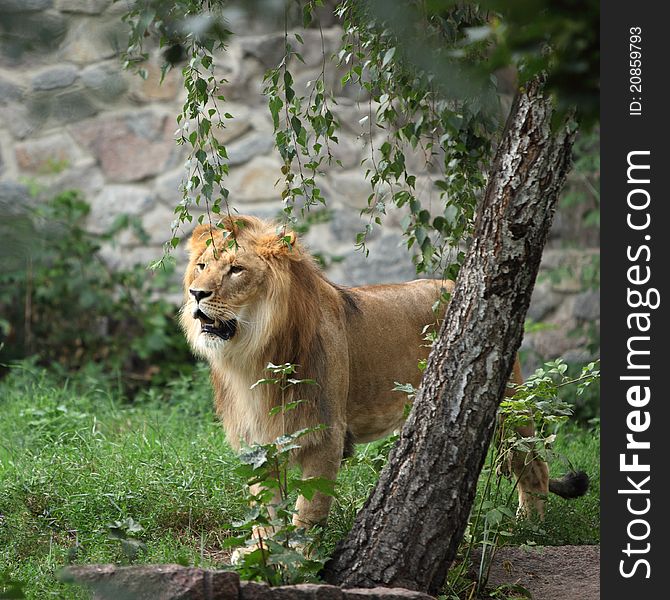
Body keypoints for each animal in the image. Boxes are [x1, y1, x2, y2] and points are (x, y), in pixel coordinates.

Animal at [181, 216, 592, 528]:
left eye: (236, 270)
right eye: (202, 267)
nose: (196, 293)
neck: (252, 354)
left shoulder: (325, 436)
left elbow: (308, 512)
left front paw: (300, 560)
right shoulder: (258, 443)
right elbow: (266, 512)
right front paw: (263, 555)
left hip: (508, 407)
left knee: (534, 466)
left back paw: (528, 528)